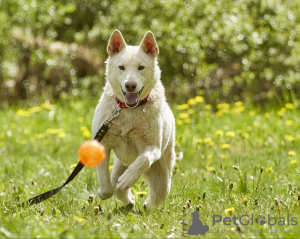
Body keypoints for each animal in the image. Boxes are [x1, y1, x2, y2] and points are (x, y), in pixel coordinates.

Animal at [91, 29, 176, 209]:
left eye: (141, 67)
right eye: (121, 67)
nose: (130, 85)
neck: (129, 110)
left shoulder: (152, 147)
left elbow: (143, 159)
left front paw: (129, 178)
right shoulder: (102, 144)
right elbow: (107, 186)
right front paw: (102, 192)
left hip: (163, 171)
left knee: (159, 194)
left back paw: (147, 204)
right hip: (120, 164)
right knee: (116, 186)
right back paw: (129, 200)